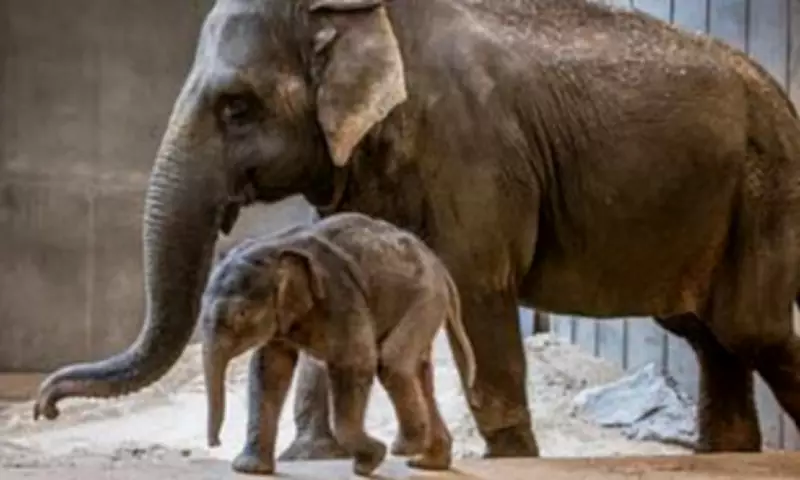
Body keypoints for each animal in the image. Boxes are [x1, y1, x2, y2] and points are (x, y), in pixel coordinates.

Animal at [200, 212, 477, 474]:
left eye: (241, 314)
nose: (215, 443)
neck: (275, 246)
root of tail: (440, 267)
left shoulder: (340, 294)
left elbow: (354, 362)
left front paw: (370, 461)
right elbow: (268, 370)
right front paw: (249, 469)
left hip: (425, 297)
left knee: (392, 362)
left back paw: (404, 448)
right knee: (419, 372)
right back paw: (427, 463)